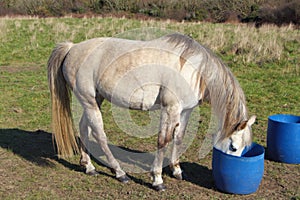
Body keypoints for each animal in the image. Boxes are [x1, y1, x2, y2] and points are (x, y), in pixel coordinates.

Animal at [48, 33, 256, 191]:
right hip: (89, 101)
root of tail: (72, 48)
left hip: (95, 100)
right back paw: (120, 173)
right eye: (233, 147)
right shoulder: (170, 108)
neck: (194, 69)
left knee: (84, 128)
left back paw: (88, 166)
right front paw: (157, 179)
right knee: (99, 134)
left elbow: (178, 138)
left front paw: (176, 170)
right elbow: (163, 140)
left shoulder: (186, 110)